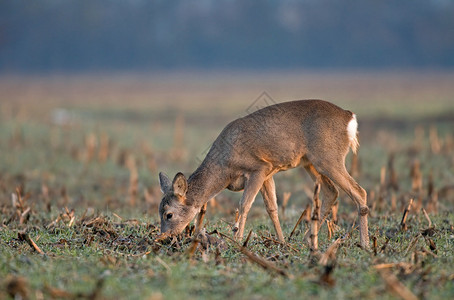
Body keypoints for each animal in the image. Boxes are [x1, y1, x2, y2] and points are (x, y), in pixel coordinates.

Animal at [160, 99, 368, 247]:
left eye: (168, 214)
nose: (163, 236)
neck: (224, 167)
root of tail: (349, 117)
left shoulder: (259, 168)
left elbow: (244, 205)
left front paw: (237, 240)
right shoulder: (269, 173)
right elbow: (272, 208)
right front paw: (282, 241)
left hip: (328, 159)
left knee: (359, 191)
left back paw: (364, 245)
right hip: (311, 163)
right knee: (331, 192)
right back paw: (307, 240)